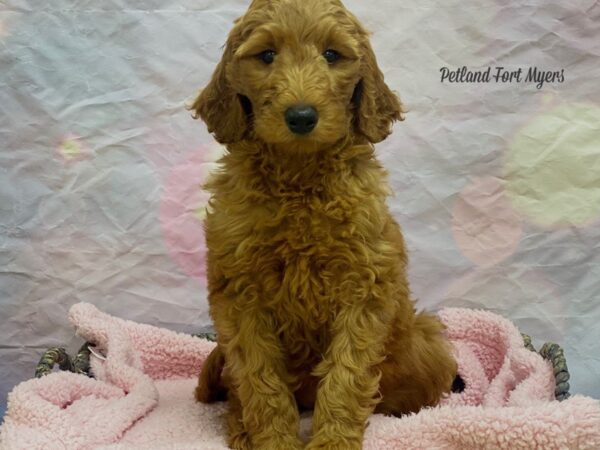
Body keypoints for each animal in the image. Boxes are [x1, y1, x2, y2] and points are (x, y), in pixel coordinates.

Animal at [190, 1, 458, 448]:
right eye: (267, 55)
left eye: (332, 55)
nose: (301, 116)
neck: (300, 180)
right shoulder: (240, 294)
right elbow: (259, 379)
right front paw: (274, 440)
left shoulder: (363, 287)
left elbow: (345, 379)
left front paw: (333, 440)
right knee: (234, 387)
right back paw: (240, 427)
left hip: (425, 346)